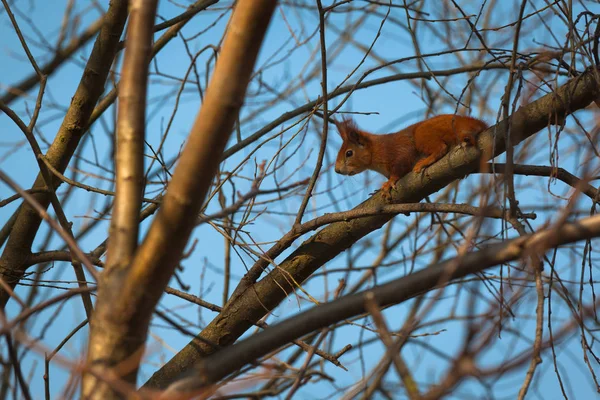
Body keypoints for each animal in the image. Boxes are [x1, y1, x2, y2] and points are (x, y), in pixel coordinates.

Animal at [332, 114, 488, 197]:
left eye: (349, 153)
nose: (337, 170)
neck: (376, 151)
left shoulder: (398, 151)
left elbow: (401, 167)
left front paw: (389, 182)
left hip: (422, 135)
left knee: (441, 148)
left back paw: (424, 162)